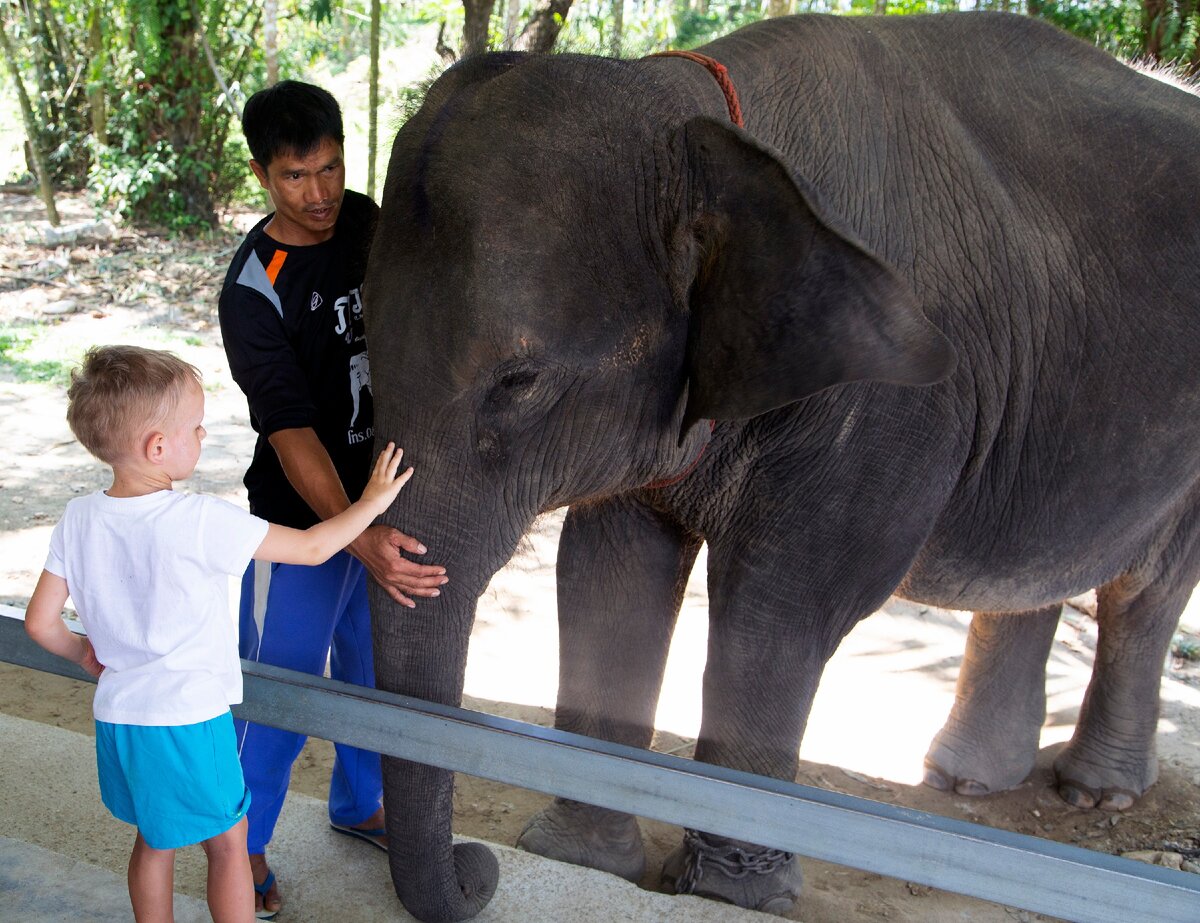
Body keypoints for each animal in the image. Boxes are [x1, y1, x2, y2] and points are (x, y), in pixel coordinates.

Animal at [360, 9, 1200, 921]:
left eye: (518, 382)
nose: (475, 867)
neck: (699, 118)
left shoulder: (894, 402)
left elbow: (782, 606)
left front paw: (732, 894)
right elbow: (606, 572)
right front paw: (577, 858)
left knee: (1145, 590)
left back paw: (1095, 791)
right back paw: (967, 780)